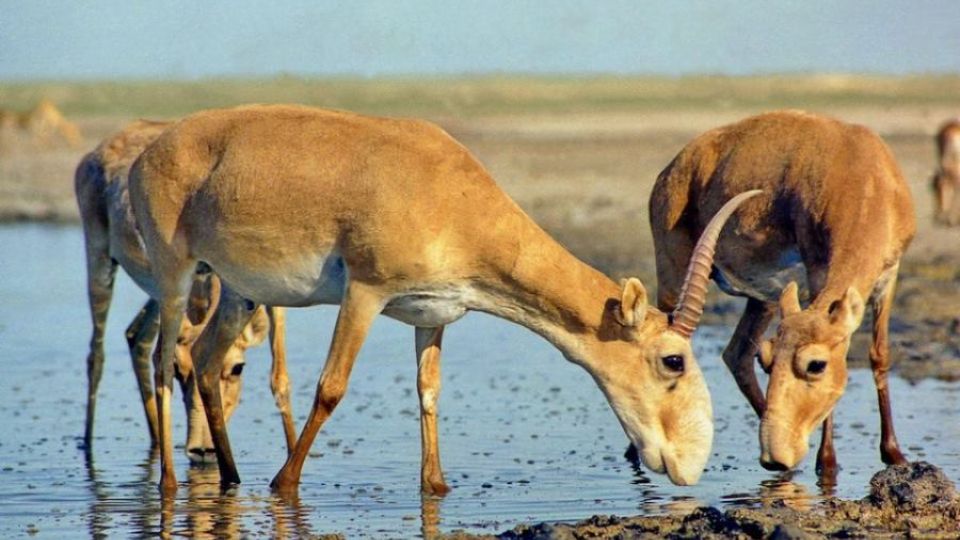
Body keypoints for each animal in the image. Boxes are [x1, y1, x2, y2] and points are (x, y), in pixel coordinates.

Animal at [76, 120, 296, 462]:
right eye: (180, 372)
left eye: (238, 369)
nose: (202, 450)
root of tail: (94, 153)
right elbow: (162, 361)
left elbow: (280, 377)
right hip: (100, 260)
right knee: (96, 353)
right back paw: (88, 445)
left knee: (135, 336)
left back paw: (155, 440)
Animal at [125, 103, 756, 496]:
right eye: (672, 359)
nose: (690, 464)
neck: (450, 194)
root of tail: (145, 155)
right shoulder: (365, 293)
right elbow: (331, 388)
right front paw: (285, 485)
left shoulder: (433, 315)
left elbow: (429, 392)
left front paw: (436, 485)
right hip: (175, 274)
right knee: (162, 357)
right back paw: (171, 486)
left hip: (237, 290)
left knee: (206, 359)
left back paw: (231, 481)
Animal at [652, 110, 916, 476]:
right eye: (768, 360)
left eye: (815, 364)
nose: (774, 456)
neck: (865, 180)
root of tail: (671, 170)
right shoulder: (818, 273)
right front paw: (827, 463)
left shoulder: (888, 277)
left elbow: (879, 355)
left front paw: (894, 454)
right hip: (673, 282)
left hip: (761, 300)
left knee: (735, 354)